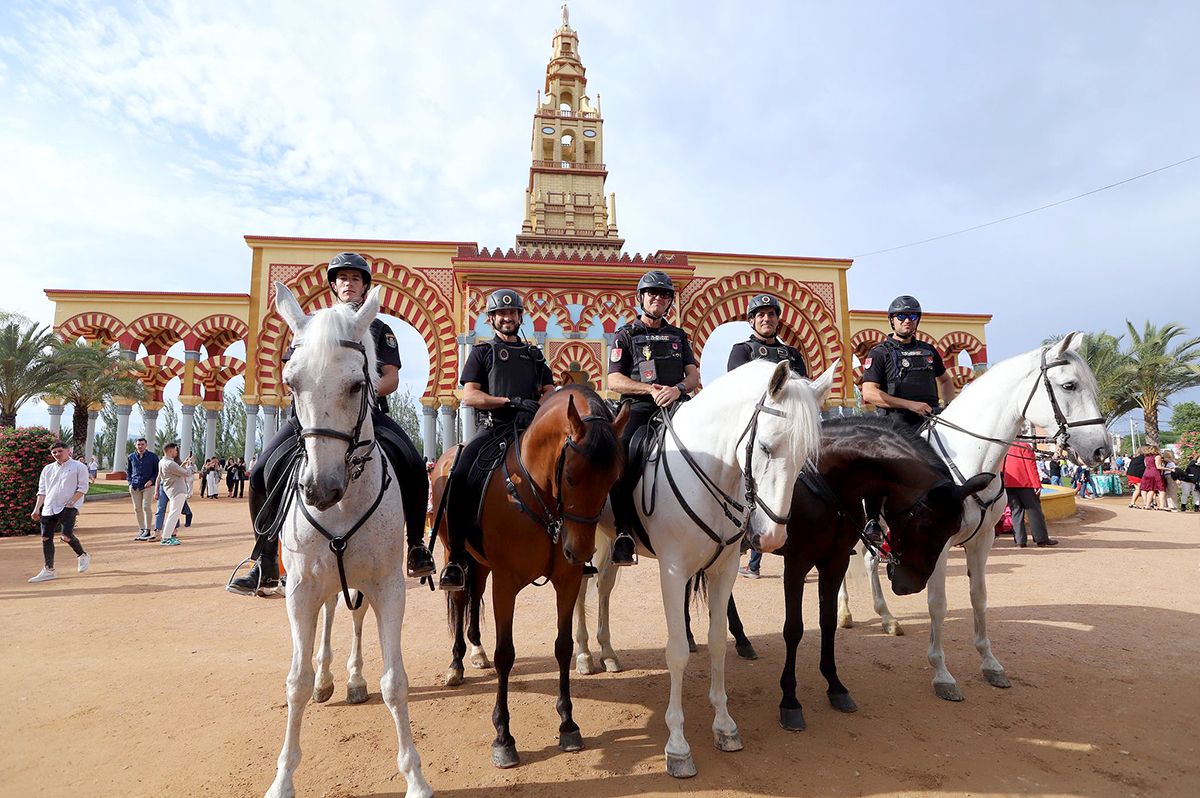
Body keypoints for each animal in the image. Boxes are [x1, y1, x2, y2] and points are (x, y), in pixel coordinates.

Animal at [266, 284, 432, 796]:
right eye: (292, 383)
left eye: (359, 384)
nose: (320, 488)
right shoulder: (299, 589)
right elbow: (295, 681)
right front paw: (283, 778)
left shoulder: (389, 586)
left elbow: (395, 682)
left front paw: (415, 777)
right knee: (329, 616)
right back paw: (326, 678)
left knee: (353, 616)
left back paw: (354, 679)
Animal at [436, 384, 633, 768]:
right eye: (570, 476)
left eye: (614, 480)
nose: (578, 552)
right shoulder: (505, 585)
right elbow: (506, 655)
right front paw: (503, 736)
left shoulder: (567, 581)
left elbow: (563, 647)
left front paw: (568, 723)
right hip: (456, 555)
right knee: (460, 597)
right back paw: (457, 663)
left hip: (481, 564)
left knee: (473, 596)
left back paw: (476, 650)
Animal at [571, 357, 835, 772]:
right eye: (764, 446)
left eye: (806, 455)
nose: (773, 536)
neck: (709, 471)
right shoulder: (673, 572)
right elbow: (678, 650)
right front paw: (677, 744)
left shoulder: (723, 571)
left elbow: (718, 643)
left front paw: (724, 725)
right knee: (583, 590)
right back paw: (583, 654)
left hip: (609, 542)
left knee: (604, 589)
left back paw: (607, 653)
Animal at [835, 333, 1104, 700]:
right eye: (1069, 385)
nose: (1102, 450)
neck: (969, 460)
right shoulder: (937, 545)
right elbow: (938, 604)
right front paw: (942, 673)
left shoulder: (983, 540)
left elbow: (979, 598)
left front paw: (990, 664)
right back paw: (845, 613)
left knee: (866, 561)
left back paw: (887, 619)